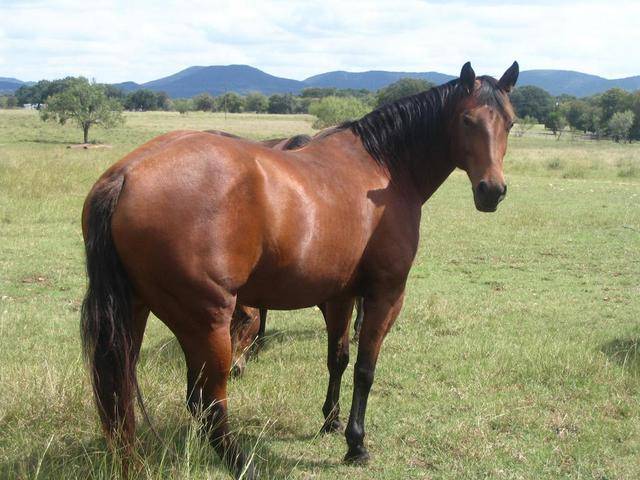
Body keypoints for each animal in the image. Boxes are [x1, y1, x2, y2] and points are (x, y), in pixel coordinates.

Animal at [81, 62, 520, 478]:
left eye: (510, 122)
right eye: (467, 120)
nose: (492, 191)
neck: (383, 170)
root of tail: (126, 175)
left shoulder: (341, 296)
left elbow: (338, 358)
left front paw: (331, 420)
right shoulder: (385, 295)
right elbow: (365, 369)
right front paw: (356, 443)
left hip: (136, 315)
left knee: (122, 399)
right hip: (206, 323)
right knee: (208, 404)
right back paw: (244, 464)